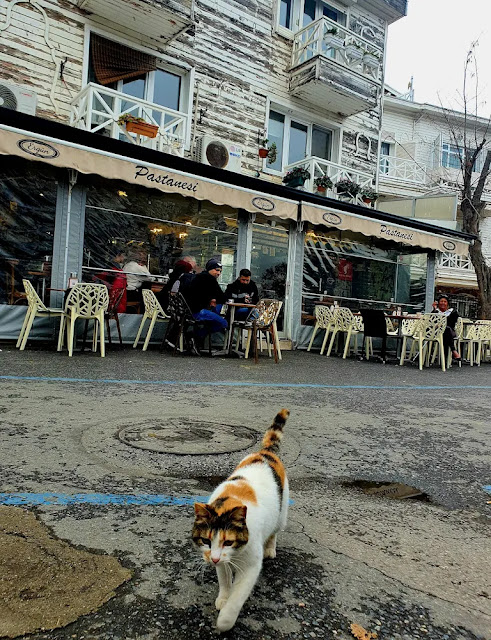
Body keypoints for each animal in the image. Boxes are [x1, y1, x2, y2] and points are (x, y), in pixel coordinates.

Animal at [192, 408, 290, 632]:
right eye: (206, 540)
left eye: (229, 541)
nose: (213, 559)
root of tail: (265, 453)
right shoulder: (220, 560)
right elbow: (224, 579)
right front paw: (223, 597)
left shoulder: (251, 566)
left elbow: (238, 597)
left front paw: (224, 621)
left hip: (281, 514)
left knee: (275, 531)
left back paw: (271, 548)